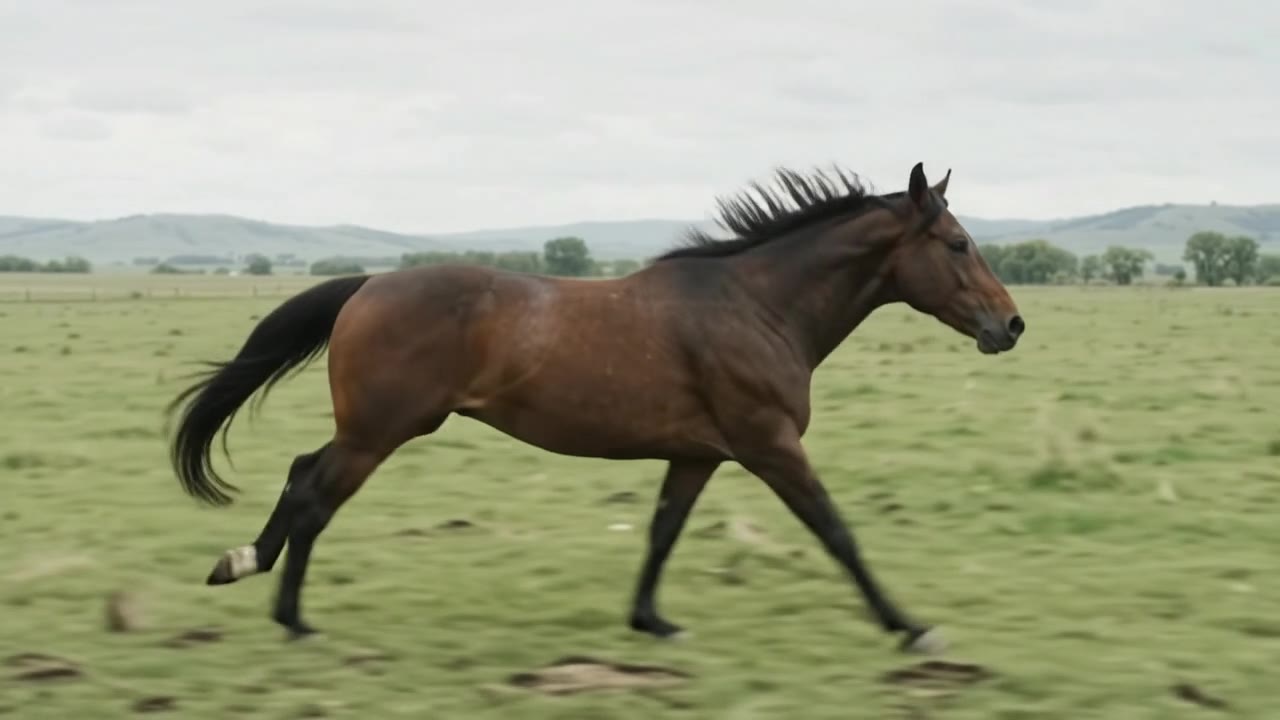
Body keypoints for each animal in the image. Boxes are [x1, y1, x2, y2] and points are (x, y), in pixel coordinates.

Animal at [166, 161, 1024, 653]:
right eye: (956, 243)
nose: (1009, 325)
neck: (754, 306)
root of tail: (369, 284)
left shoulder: (699, 453)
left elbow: (663, 531)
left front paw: (652, 621)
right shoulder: (770, 444)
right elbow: (836, 531)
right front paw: (910, 627)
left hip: (374, 429)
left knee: (301, 474)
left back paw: (249, 571)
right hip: (380, 430)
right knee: (314, 491)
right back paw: (288, 613)